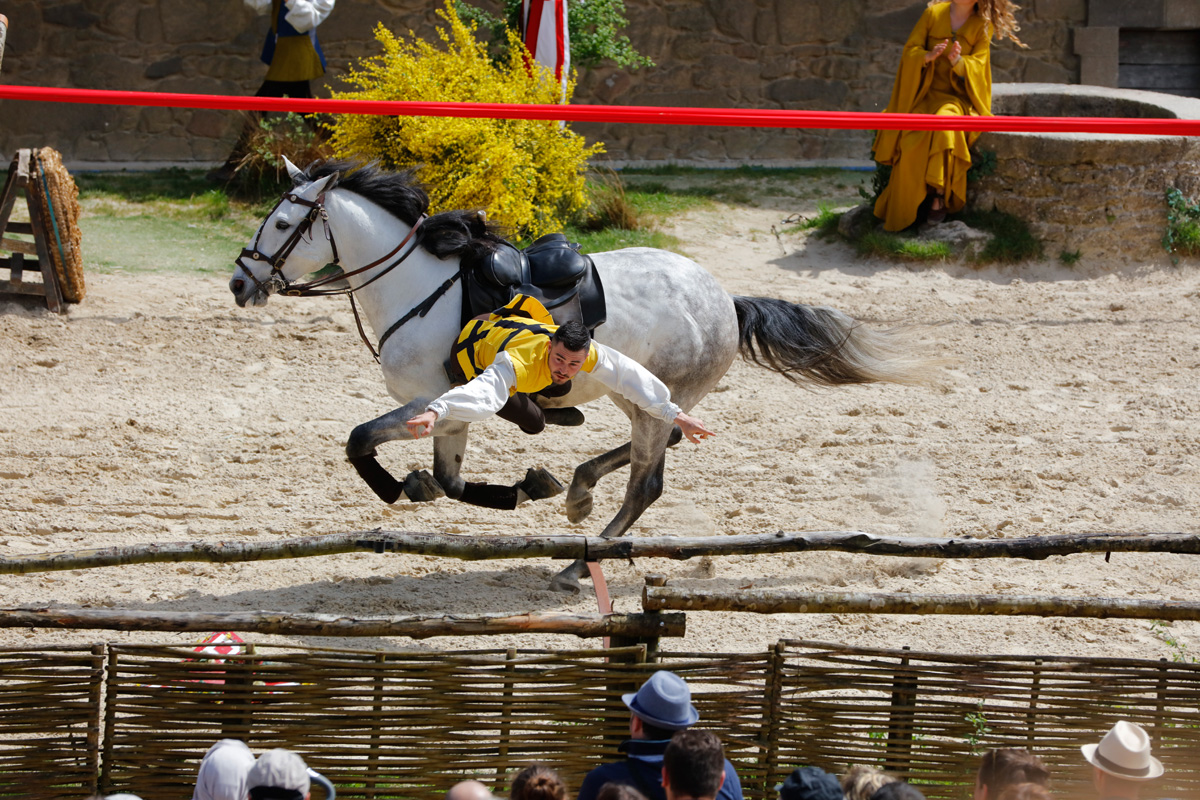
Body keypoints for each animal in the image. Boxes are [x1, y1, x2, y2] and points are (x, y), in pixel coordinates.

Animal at [226, 159, 936, 592]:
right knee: (659, 442)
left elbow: (361, 440)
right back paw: (577, 490)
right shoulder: (452, 411)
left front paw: (404, 486)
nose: (239, 282)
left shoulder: (437, 398)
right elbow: (450, 482)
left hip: (653, 397)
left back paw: (576, 561)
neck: (418, 287)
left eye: (283, 223)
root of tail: (725, 299)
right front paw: (517, 487)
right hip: (638, 393)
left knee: (648, 482)